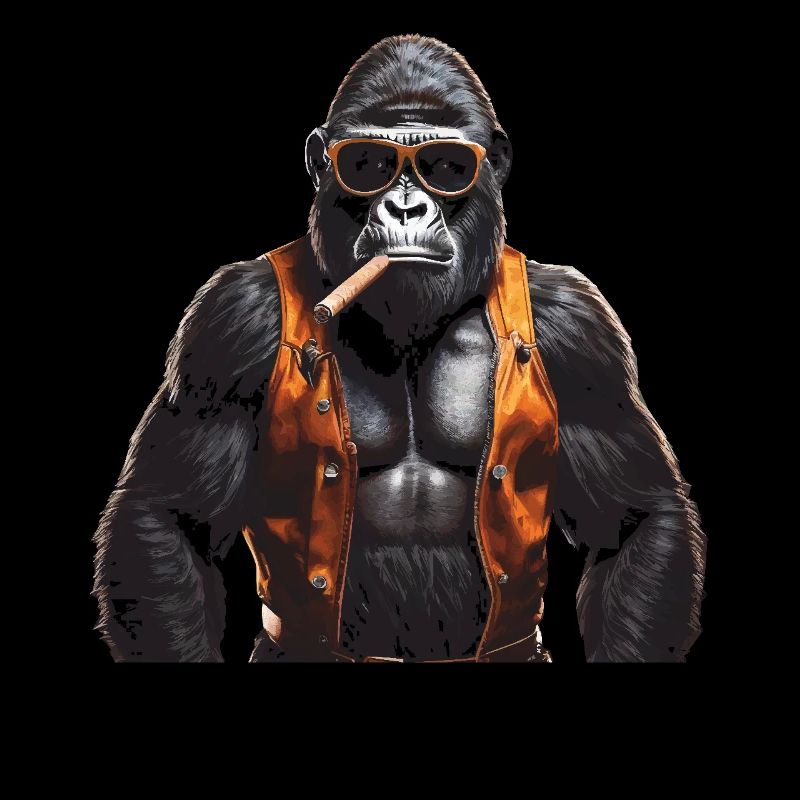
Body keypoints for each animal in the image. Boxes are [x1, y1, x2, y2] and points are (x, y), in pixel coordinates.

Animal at [92, 34, 706, 662]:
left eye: (447, 167)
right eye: (367, 164)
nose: (405, 206)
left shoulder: (583, 332)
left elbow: (636, 515)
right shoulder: (226, 325)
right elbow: (169, 514)